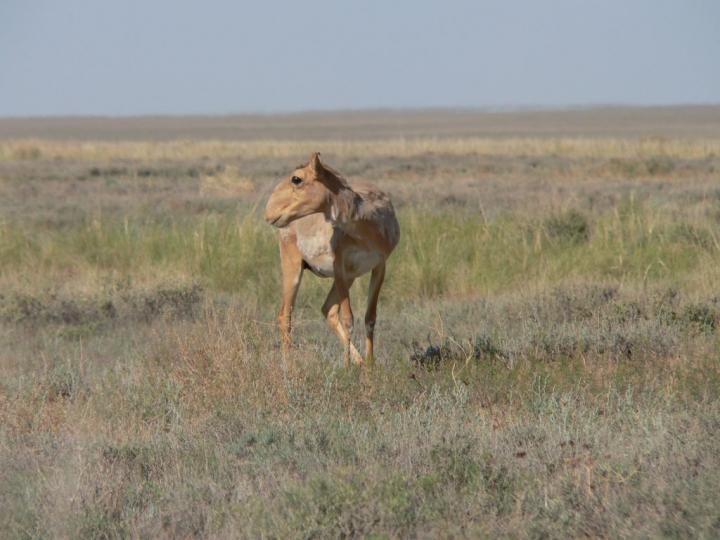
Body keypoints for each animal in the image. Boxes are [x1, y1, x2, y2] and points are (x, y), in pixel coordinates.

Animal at [264, 153, 400, 368]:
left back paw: (361, 362)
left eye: (296, 178)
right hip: (293, 269)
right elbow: (348, 318)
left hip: (349, 277)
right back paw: (288, 365)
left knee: (327, 309)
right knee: (285, 314)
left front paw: (370, 367)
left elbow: (370, 318)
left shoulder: (379, 267)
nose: (269, 211)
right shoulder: (340, 270)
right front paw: (346, 368)